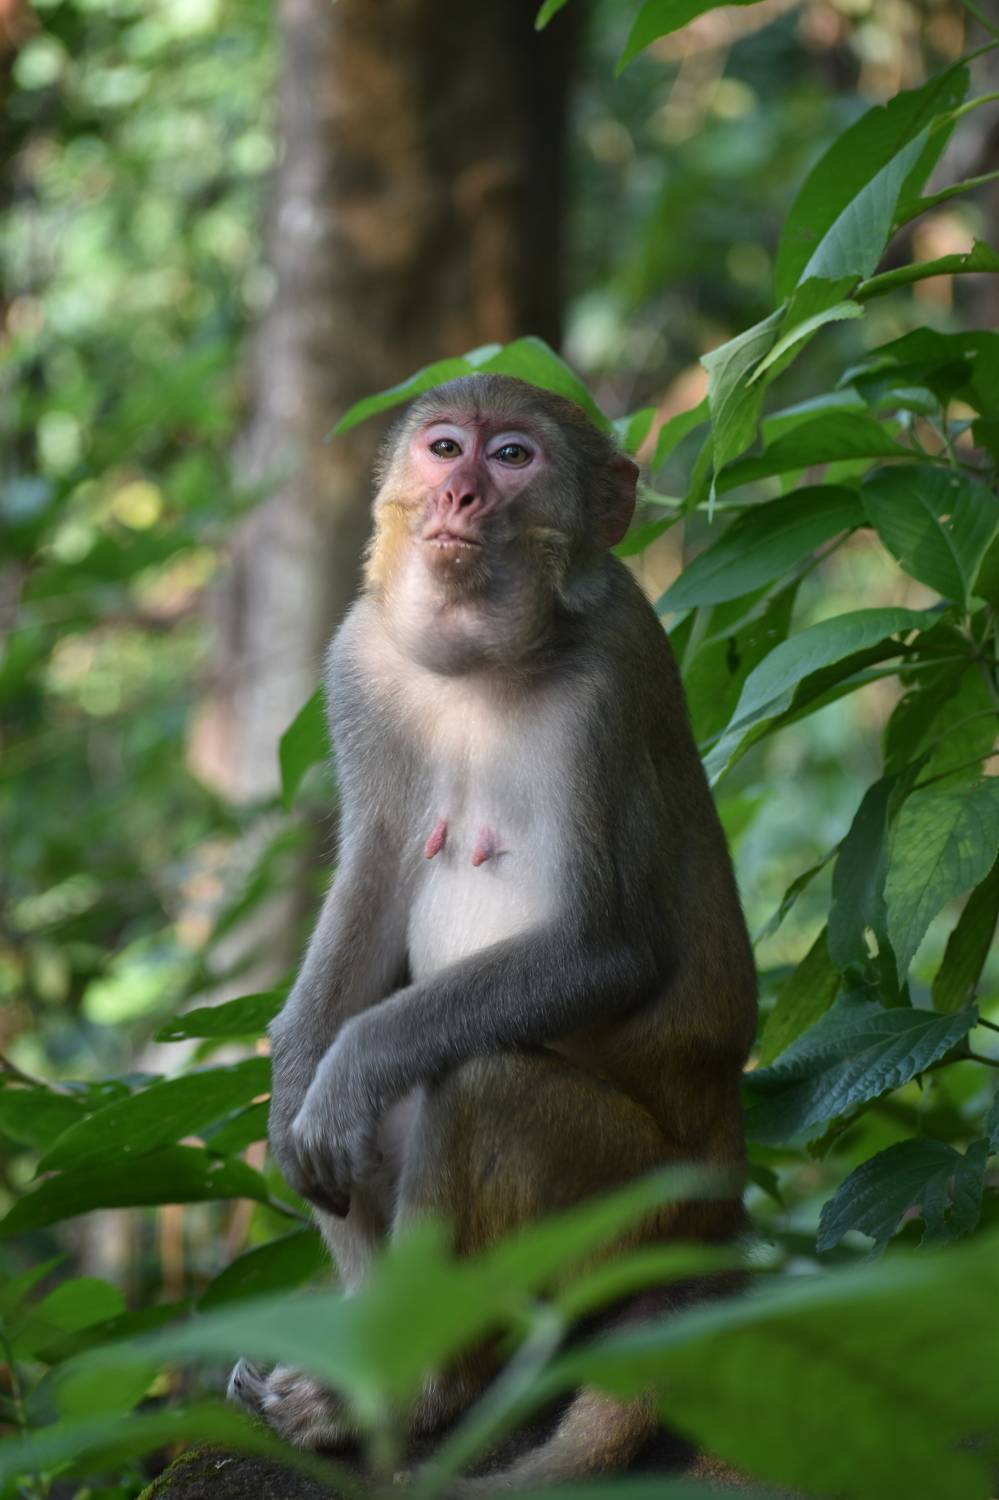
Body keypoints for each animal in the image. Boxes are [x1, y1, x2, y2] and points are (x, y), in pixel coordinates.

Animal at [229, 373, 757, 1487]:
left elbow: (603, 949)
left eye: (512, 456)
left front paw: (345, 1070)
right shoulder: (358, 661)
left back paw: (428, 1390)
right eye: (443, 447)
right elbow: (375, 875)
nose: (460, 495)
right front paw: (297, 1073)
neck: (478, 661)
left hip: (628, 1207)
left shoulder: (611, 680)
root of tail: (722, 1205)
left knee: (482, 1089)